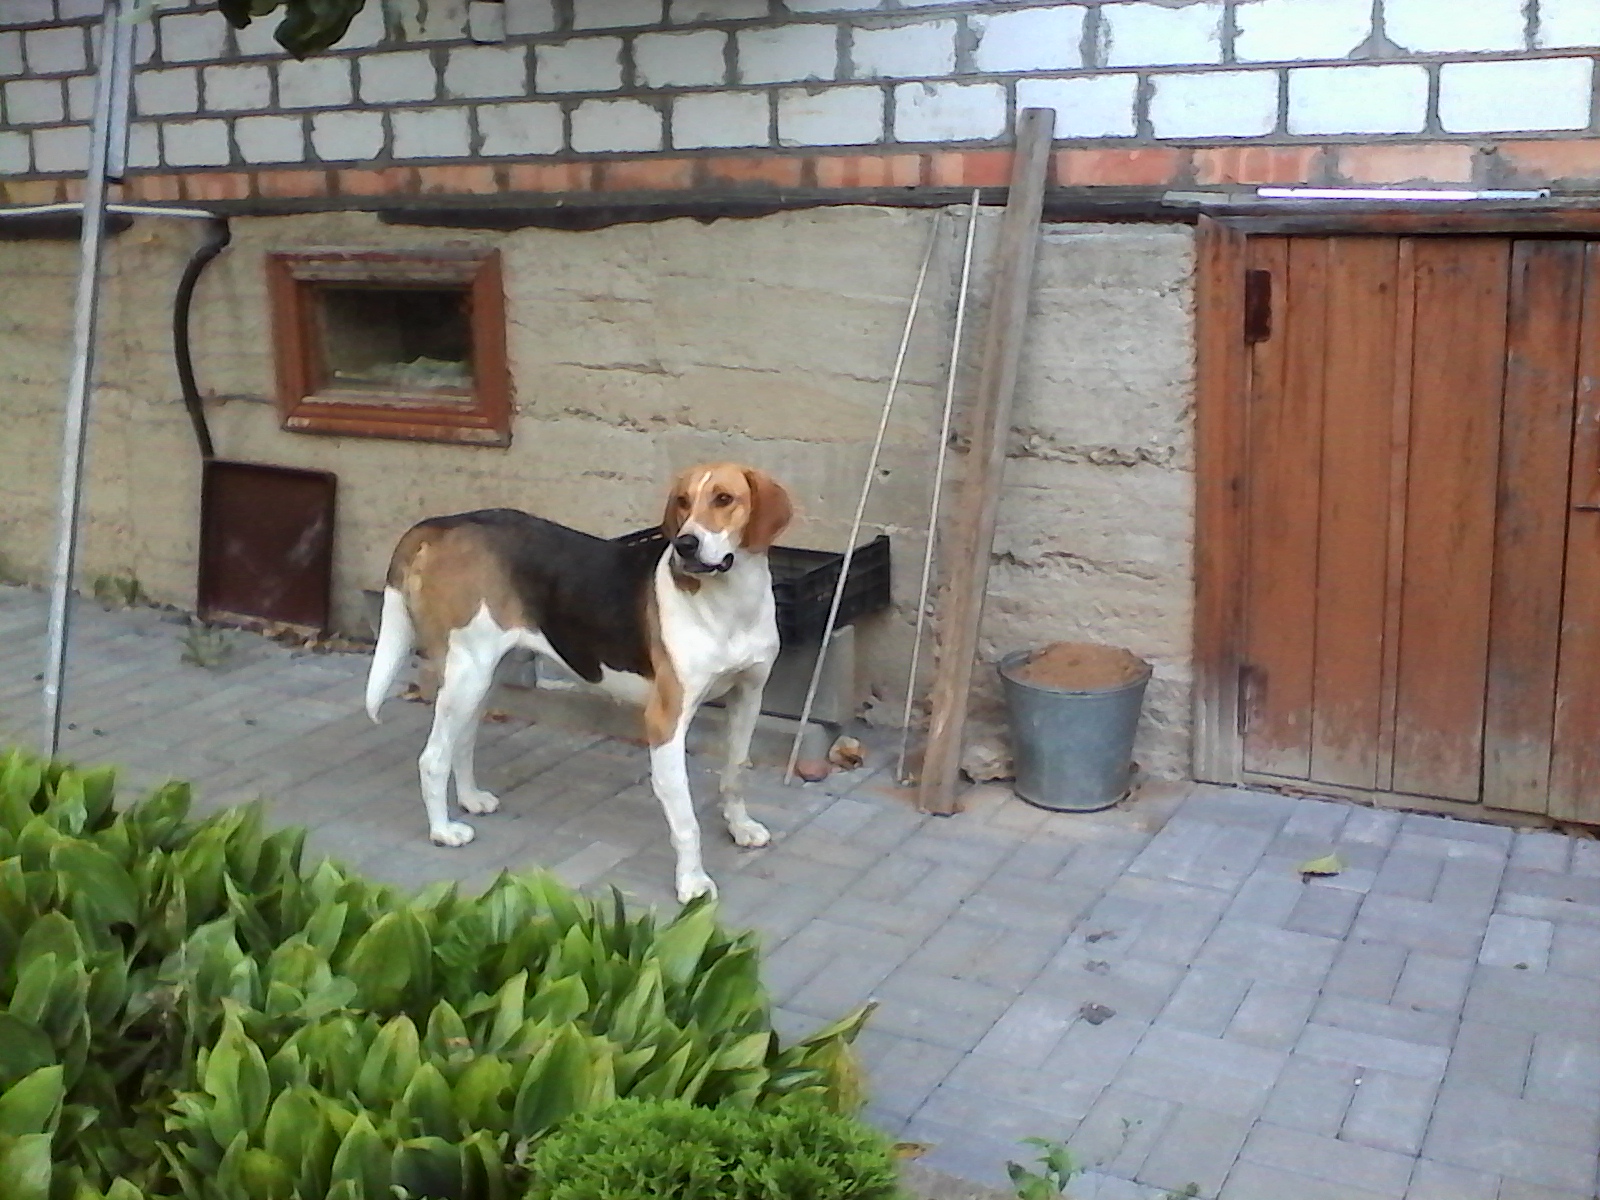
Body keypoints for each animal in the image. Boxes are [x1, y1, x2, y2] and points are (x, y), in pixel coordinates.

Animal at [364, 463, 793, 902]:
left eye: (724, 499)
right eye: (683, 502)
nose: (686, 545)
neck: (730, 604)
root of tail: (445, 523)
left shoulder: (749, 697)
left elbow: (735, 773)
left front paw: (740, 827)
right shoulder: (666, 721)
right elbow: (686, 819)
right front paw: (692, 882)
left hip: (482, 675)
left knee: (462, 742)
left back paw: (470, 799)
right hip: (467, 670)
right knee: (433, 757)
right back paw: (443, 831)